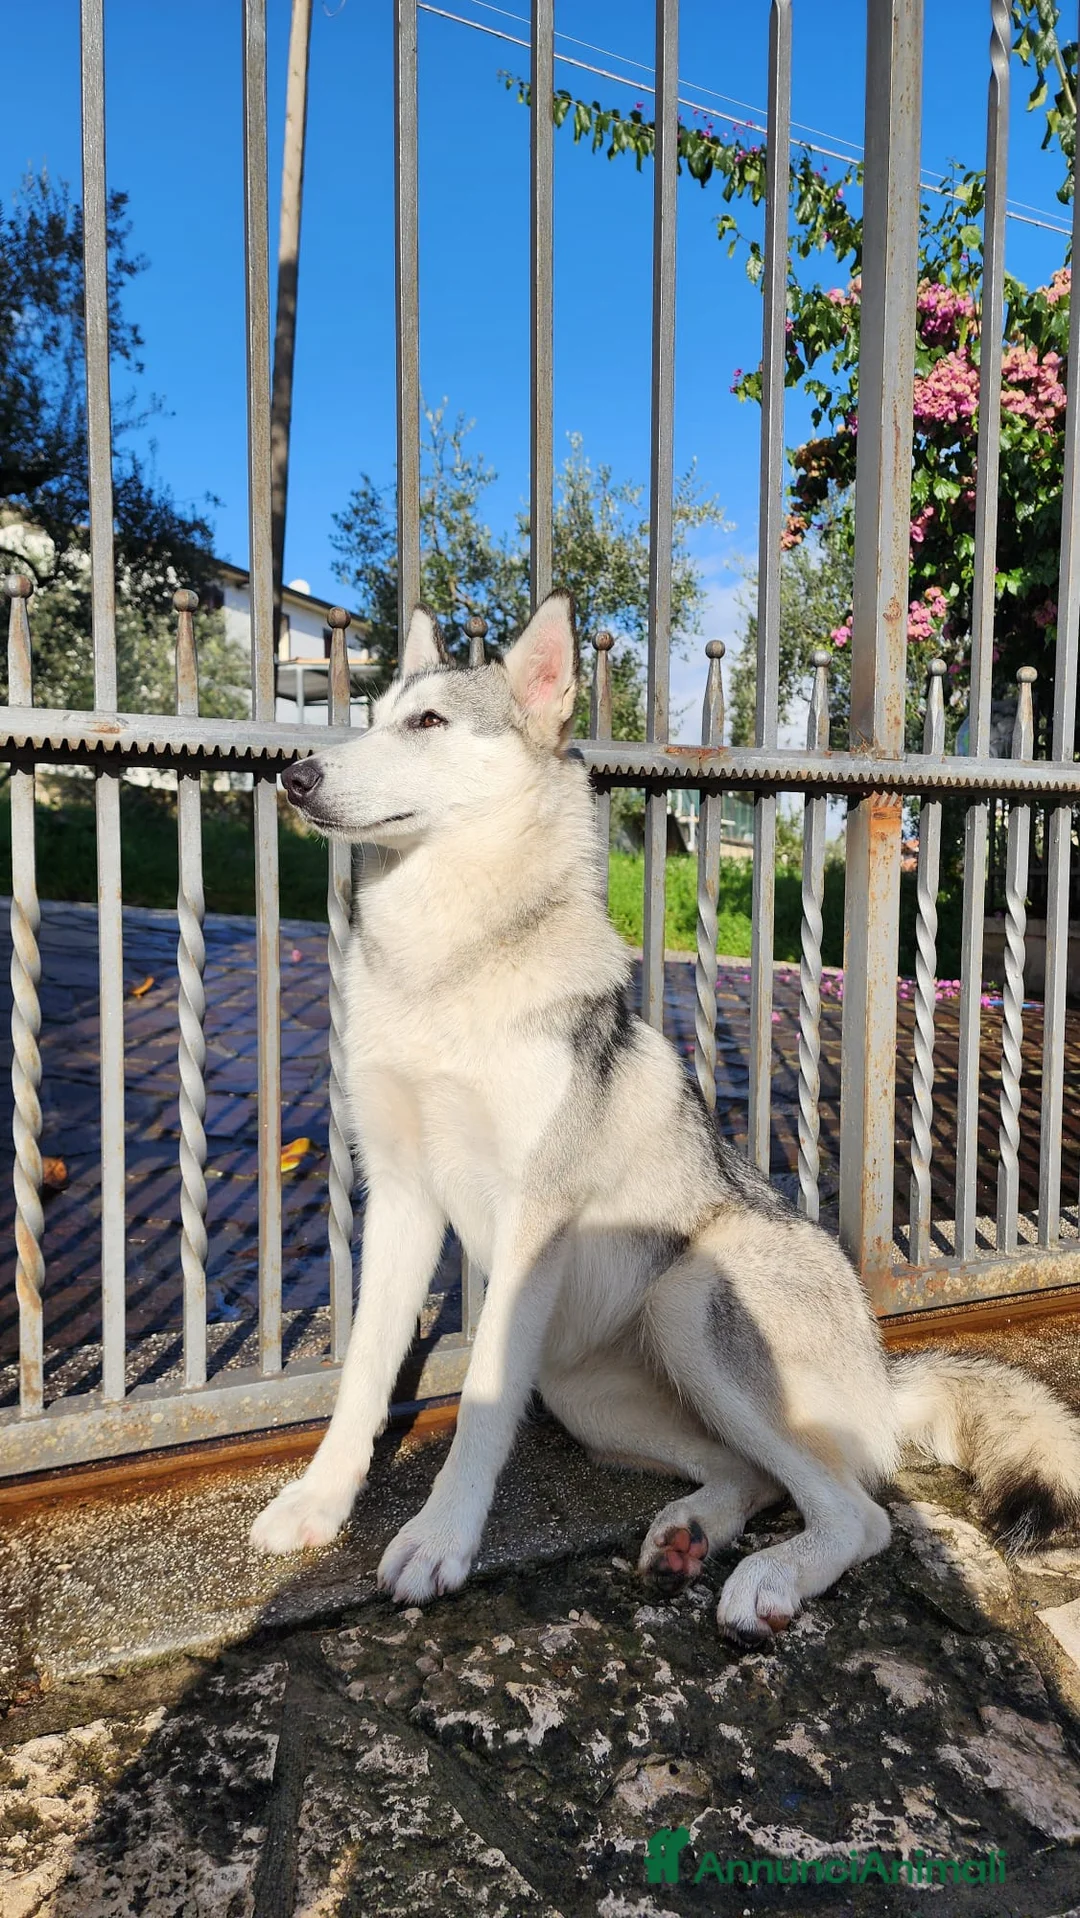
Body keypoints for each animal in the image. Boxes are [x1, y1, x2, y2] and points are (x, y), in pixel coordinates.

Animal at [250, 591, 1080, 1640]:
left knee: (859, 1513)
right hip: (586, 1389)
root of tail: (881, 1371)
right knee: (756, 1478)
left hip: (688, 1298)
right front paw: (317, 1505)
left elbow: (478, 1404)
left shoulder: (531, 1223)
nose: (296, 775)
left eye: (428, 723)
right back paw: (691, 1531)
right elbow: (362, 1378)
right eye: (368, 718)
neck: (446, 965)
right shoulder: (399, 1200)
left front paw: (441, 1541)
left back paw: (768, 1579)